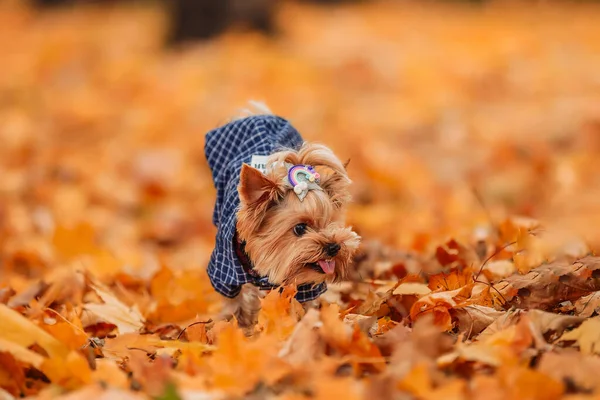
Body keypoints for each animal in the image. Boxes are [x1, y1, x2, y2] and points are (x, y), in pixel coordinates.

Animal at [202, 103, 360, 328]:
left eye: (330, 223)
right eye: (299, 228)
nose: (334, 246)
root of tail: (258, 116)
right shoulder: (224, 271)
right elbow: (235, 301)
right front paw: (237, 326)